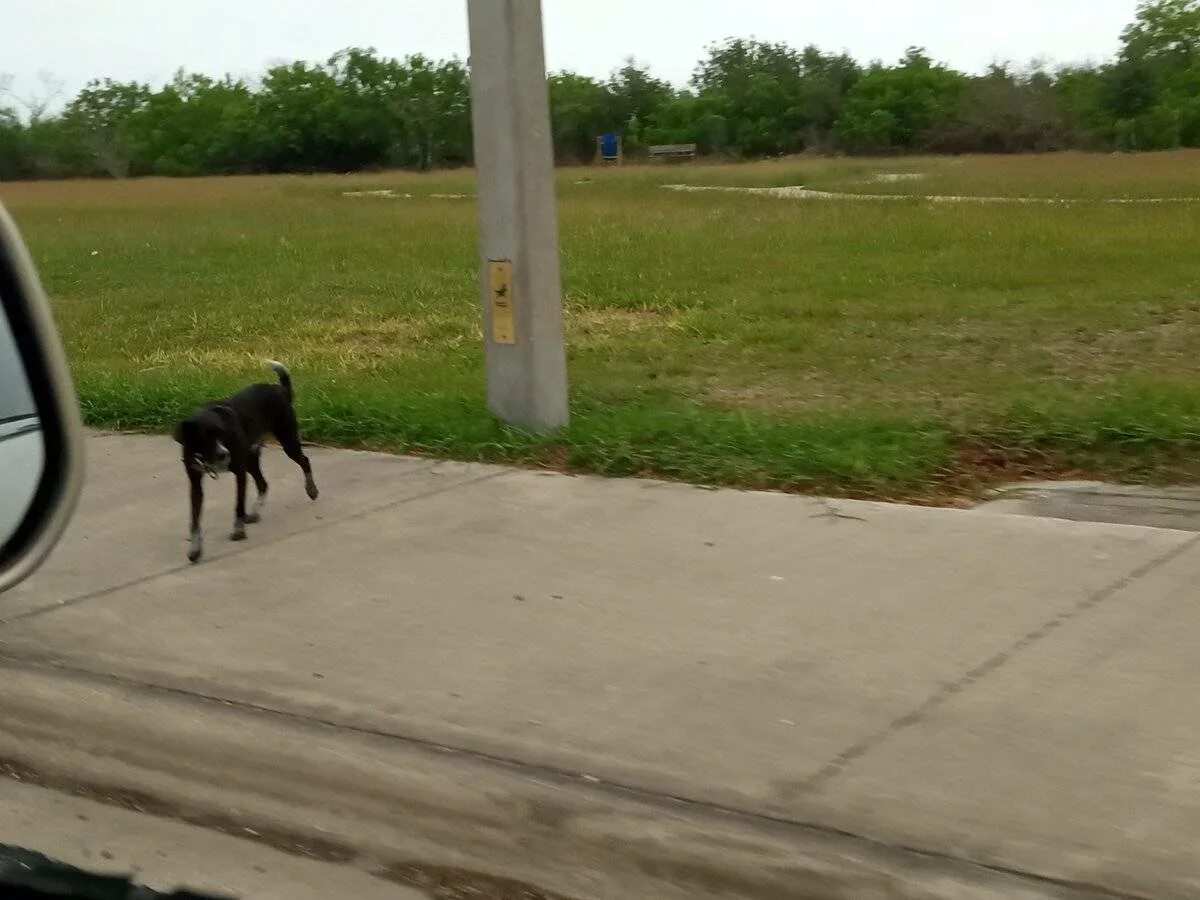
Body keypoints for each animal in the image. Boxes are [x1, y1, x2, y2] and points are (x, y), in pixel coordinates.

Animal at [174, 362, 316, 564]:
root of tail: (280, 389)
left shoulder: (239, 473)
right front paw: (195, 549)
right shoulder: (195, 482)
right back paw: (255, 513)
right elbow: (195, 520)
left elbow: (238, 505)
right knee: (263, 483)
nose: (224, 454)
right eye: (204, 437)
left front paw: (238, 531)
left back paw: (311, 490)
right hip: (251, 458)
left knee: (304, 461)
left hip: (287, 441)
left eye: (220, 433)